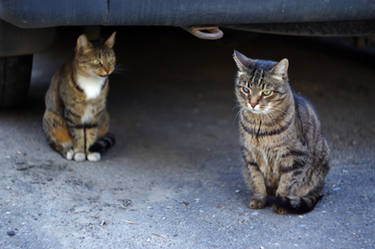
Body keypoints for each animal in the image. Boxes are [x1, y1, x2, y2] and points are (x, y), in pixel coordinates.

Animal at [42, 32, 117, 161]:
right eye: (97, 61)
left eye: (111, 59)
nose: (108, 70)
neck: (91, 82)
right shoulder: (72, 113)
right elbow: (78, 134)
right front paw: (80, 152)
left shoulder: (95, 112)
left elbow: (91, 133)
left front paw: (90, 152)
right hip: (52, 118)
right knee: (53, 142)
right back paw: (67, 151)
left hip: (105, 117)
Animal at [234, 50, 330, 214]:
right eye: (246, 90)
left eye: (266, 92)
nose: (252, 103)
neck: (261, 126)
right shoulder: (250, 154)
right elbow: (257, 180)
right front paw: (259, 199)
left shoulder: (294, 156)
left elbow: (287, 183)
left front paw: (281, 203)